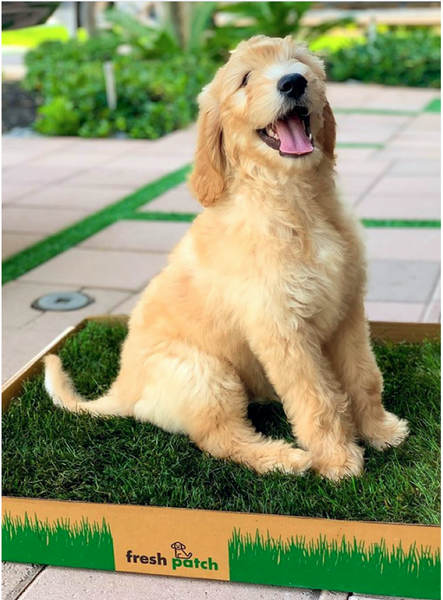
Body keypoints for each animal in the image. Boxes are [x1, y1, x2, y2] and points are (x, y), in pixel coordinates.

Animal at [45, 35, 410, 480]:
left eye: (301, 63)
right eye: (245, 79)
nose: (293, 82)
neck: (295, 205)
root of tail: (122, 389)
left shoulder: (348, 311)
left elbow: (363, 376)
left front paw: (379, 430)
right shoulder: (281, 330)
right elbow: (317, 398)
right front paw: (338, 460)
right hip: (206, 374)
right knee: (220, 440)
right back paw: (283, 458)